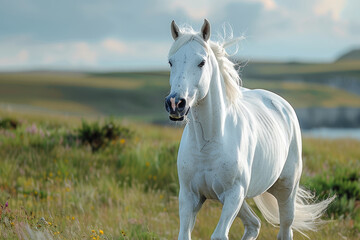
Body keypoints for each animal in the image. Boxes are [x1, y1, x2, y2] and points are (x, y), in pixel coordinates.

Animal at [165, 19, 334, 240]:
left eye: (201, 62)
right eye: (171, 62)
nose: (175, 103)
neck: (208, 143)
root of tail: (281, 104)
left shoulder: (233, 194)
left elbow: (219, 235)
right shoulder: (189, 196)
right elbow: (185, 234)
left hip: (286, 189)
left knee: (285, 228)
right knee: (254, 224)